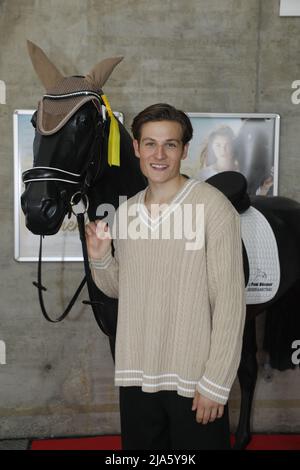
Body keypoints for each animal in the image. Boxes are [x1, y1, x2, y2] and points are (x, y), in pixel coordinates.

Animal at [21, 42, 300, 450]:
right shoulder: (119, 339)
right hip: (249, 316)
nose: (37, 208)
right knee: (247, 370)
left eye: (84, 122)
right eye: (33, 122)